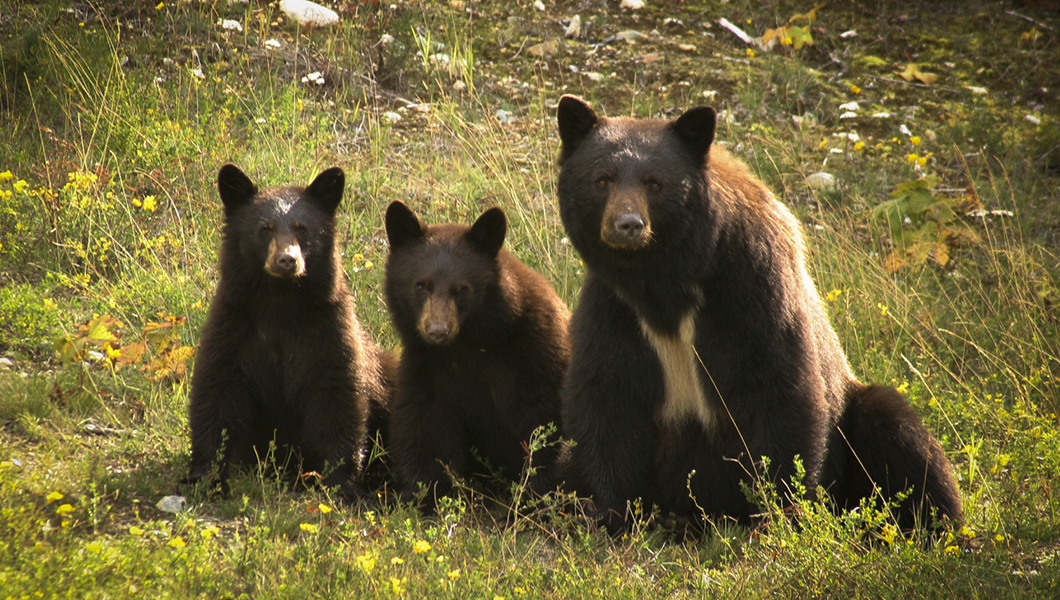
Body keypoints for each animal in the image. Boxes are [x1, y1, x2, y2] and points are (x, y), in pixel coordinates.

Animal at [185, 164, 396, 500]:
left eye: (302, 228)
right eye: (265, 228)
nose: (287, 259)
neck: (280, 303)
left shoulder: (328, 331)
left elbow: (338, 398)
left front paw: (340, 483)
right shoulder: (232, 327)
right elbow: (217, 390)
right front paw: (206, 475)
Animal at [383, 200, 570, 507]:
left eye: (461, 289)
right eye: (421, 285)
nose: (437, 330)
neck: (470, 343)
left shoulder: (537, 354)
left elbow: (542, 425)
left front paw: (534, 497)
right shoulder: (425, 366)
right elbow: (423, 425)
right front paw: (420, 494)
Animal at [554, 95, 962, 533]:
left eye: (654, 182)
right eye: (602, 179)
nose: (627, 225)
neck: (666, 283)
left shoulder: (753, 290)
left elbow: (779, 392)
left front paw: (776, 515)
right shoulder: (615, 309)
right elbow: (607, 398)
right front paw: (610, 512)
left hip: (856, 415)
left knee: (904, 441)